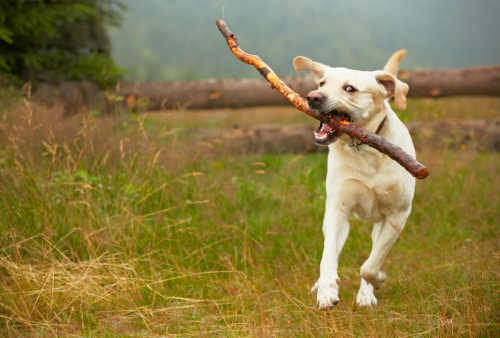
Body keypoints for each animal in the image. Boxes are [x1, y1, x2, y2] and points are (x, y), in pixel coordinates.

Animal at [292, 48, 418, 310]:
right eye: (322, 83)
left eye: (349, 88)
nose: (312, 97)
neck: (365, 148)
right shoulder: (338, 210)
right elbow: (328, 256)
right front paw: (326, 290)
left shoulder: (397, 216)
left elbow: (370, 265)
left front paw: (376, 281)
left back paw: (366, 293)